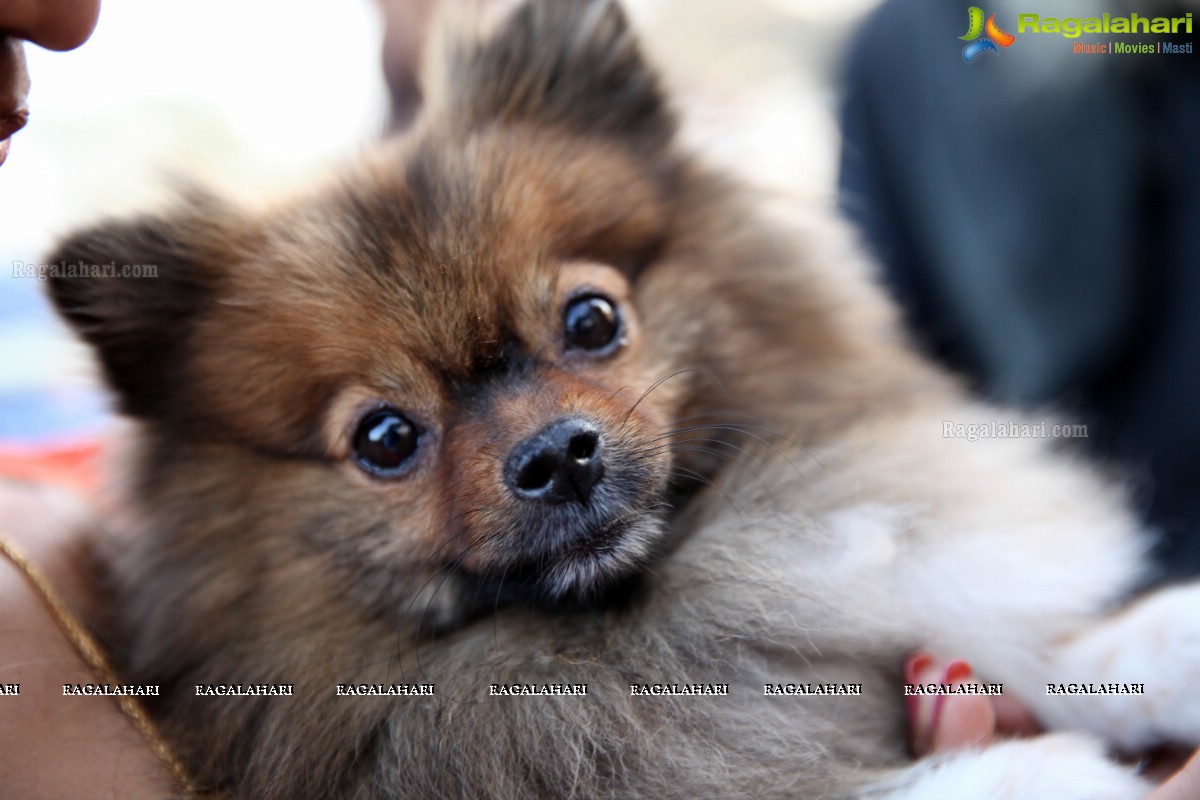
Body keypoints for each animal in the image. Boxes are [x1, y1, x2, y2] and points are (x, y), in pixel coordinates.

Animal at [42, 1, 1195, 800]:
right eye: (385, 438)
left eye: (592, 320)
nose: (556, 455)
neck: (642, 621)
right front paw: (1035, 773)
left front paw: (1157, 646)